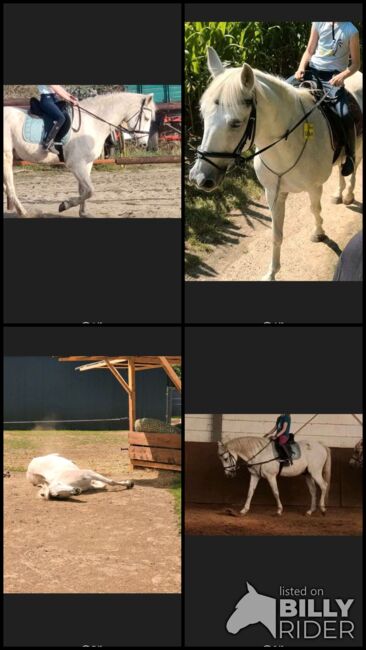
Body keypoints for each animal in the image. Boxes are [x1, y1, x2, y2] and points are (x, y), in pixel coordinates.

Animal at [3, 91, 154, 218]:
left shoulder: (86, 163)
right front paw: (64, 205)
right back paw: (23, 212)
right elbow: (90, 190)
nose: (144, 144)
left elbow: (84, 190)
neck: (93, 122)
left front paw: (83, 213)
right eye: (146, 118)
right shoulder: (75, 164)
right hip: (7, 157)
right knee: (10, 186)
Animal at [190, 46, 362, 278]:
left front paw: (319, 233)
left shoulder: (314, 187)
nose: (199, 177)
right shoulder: (273, 193)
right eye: (203, 115)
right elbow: (276, 235)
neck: (287, 144)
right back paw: (338, 194)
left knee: (353, 168)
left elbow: (315, 209)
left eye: (236, 123)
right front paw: (271, 273)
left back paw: (349, 195)